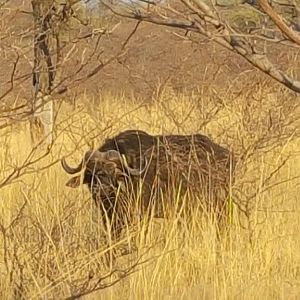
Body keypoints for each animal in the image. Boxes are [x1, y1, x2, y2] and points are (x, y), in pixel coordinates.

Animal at [61, 130, 234, 238]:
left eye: (113, 170)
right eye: (90, 172)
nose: (100, 189)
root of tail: (227, 154)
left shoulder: (141, 215)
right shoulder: (111, 218)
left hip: (220, 206)